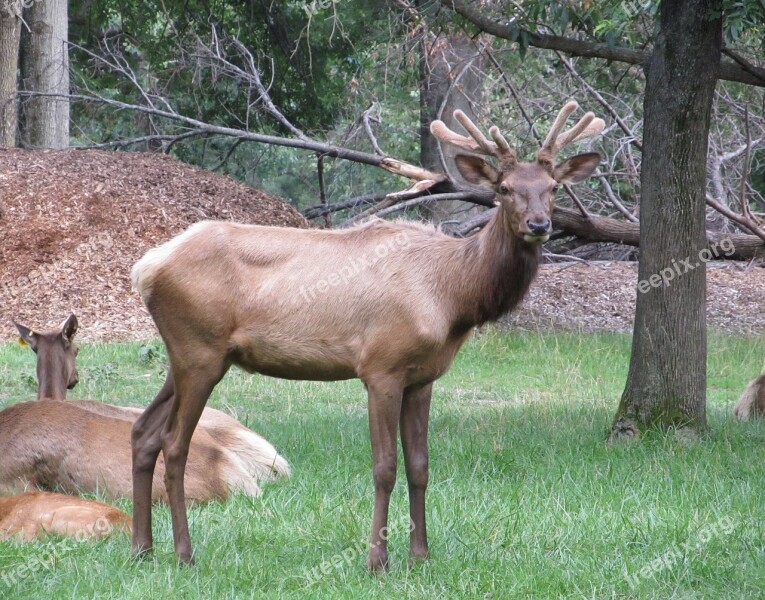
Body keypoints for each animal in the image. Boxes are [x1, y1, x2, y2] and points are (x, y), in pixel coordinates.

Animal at [131, 102, 604, 568]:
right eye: (504, 188)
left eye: (553, 188)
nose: (539, 224)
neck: (451, 296)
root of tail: (145, 268)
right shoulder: (381, 366)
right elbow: (385, 467)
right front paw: (377, 559)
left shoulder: (423, 377)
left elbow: (420, 465)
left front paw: (420, 555)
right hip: (200, 351)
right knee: (174, 442)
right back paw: (184, 553)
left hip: (186, 355)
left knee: (143, 431)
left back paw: (142, 548)